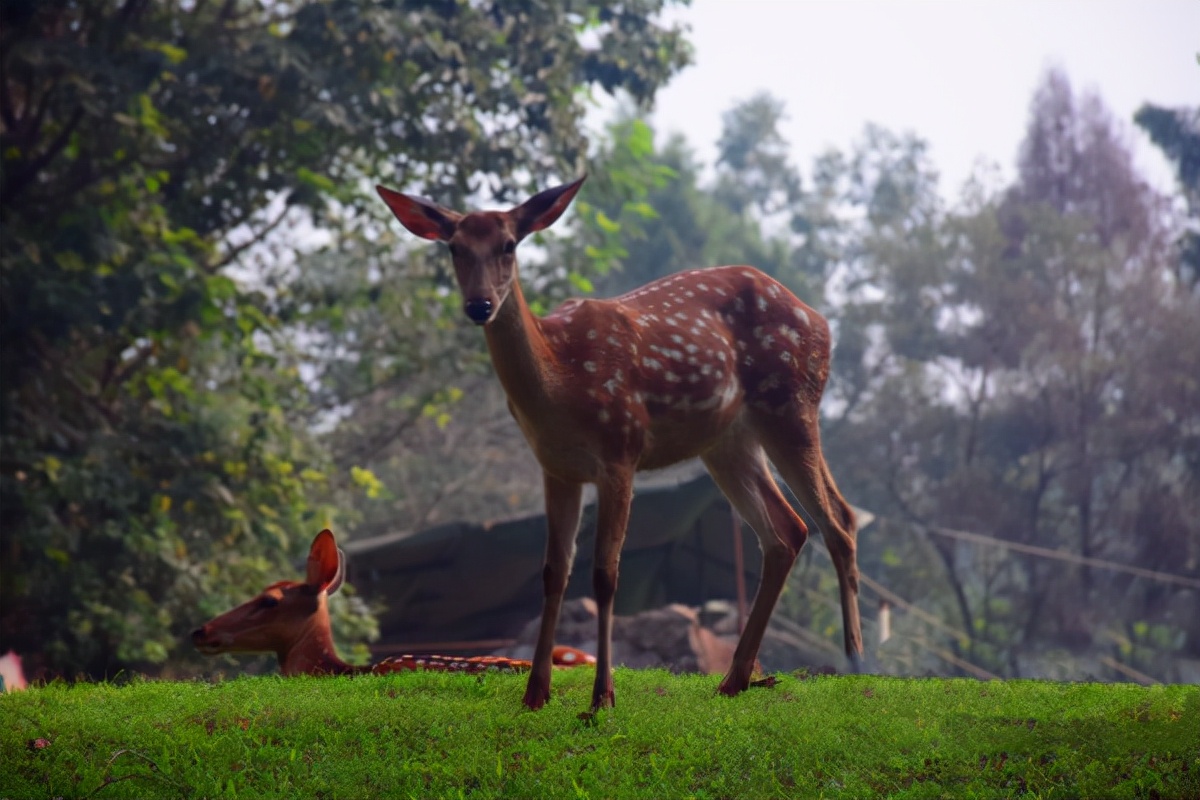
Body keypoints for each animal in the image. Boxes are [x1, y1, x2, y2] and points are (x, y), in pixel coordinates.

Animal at [379, 175, 859, 714]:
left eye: (509, 244)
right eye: (455, 248)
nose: (479, 305)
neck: (560, 380)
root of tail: (821, 321)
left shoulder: (621, 450)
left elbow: (605, 575)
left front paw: (601, 697)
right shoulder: (556, 466)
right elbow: (553, 572)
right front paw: (535, 693)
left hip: (791, 402)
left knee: (838, 519)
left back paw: (856, 664)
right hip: (726, 442)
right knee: (788, 530)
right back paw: (733, 679)